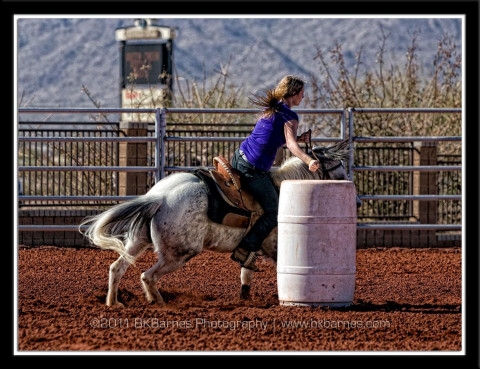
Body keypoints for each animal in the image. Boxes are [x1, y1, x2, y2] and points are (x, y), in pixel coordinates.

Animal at [80, 140, 358, 304]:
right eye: (338, 167)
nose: (356, 202)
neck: (280, 187)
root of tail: (160, 197)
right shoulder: (274, 245)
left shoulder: (253, 245)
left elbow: (246, 271)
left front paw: (244, 298)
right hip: (179, 253)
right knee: (147, 276)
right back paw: (159, 303)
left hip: (137, 242)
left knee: (116, 268)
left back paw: (114, 303)